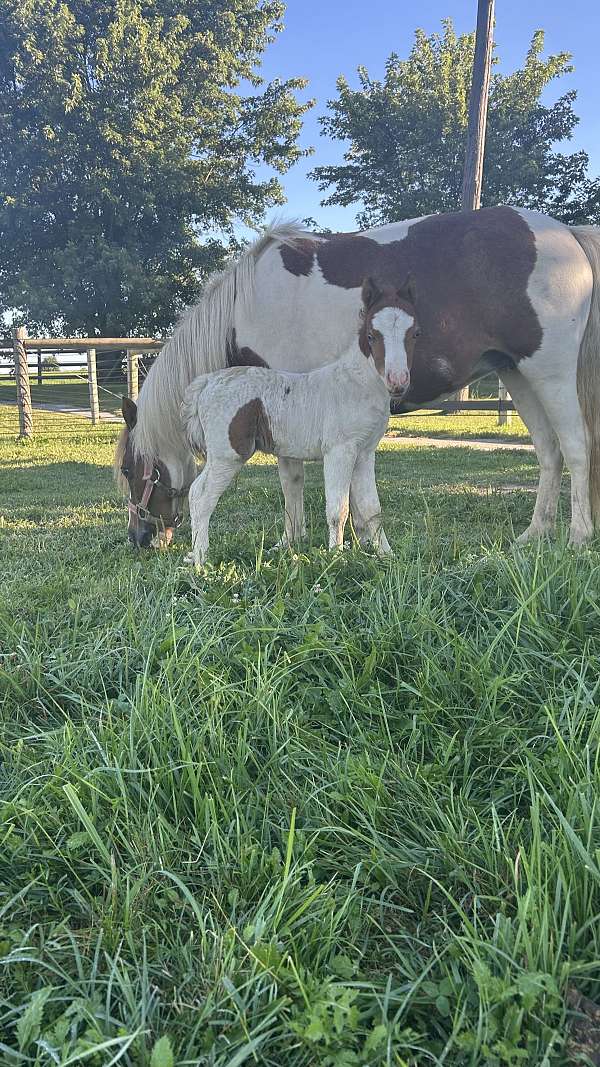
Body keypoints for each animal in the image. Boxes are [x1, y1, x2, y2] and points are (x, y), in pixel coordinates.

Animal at [179, 277, 410, 563]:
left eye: (414, 333)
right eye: (371, 335)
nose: (398, 381)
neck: (357, 384)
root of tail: (208, 382)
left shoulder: (365, 453)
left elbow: (370, 508)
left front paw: (386, 554)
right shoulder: (339, 450)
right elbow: (338, 508)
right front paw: (336, 558)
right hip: (226, 455)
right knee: (200, 496)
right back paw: (201, 559)